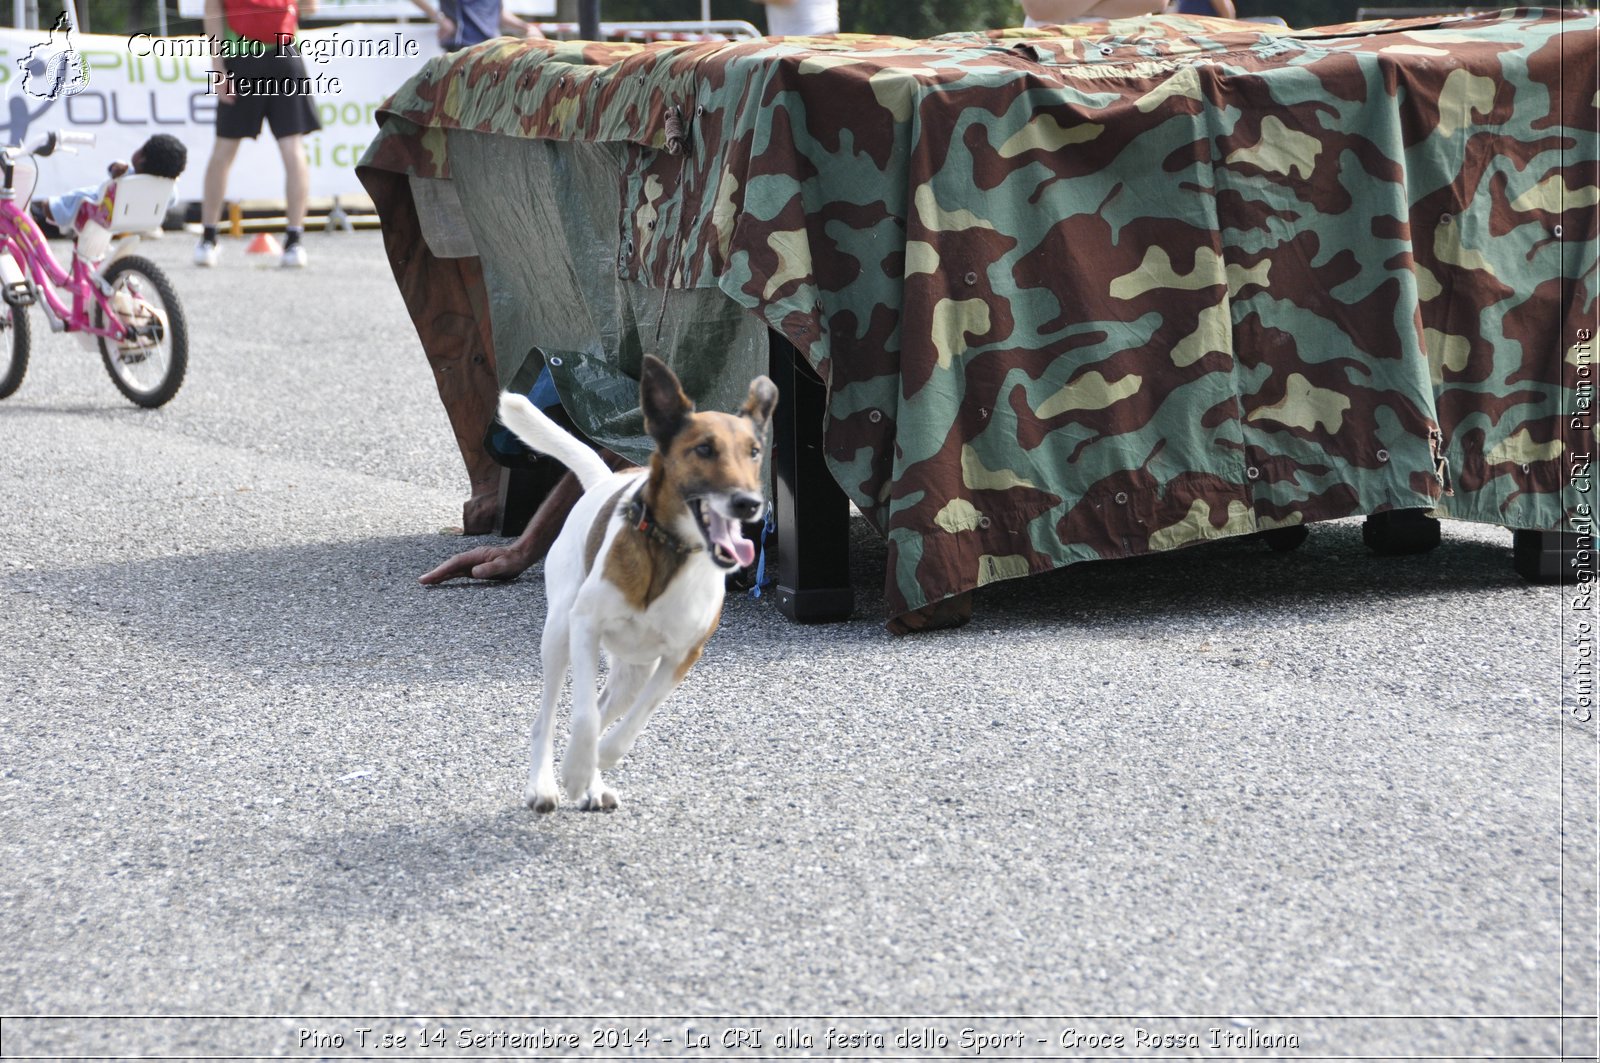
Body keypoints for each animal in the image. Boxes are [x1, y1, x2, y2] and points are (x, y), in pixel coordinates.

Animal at [496, 352, 777, 810]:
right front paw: (575, 771)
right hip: (558, 634)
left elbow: (631, 725)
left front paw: (597, 763)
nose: (749, 504)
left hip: (633, 671)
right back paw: (544, 786)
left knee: (608, 704)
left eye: (754, 453)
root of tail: (603, 480)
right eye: (704, 449)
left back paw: (592, 781)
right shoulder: (585, 626)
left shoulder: (682, 656)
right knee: (549, 717)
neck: (671, 552)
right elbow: (583, 716)